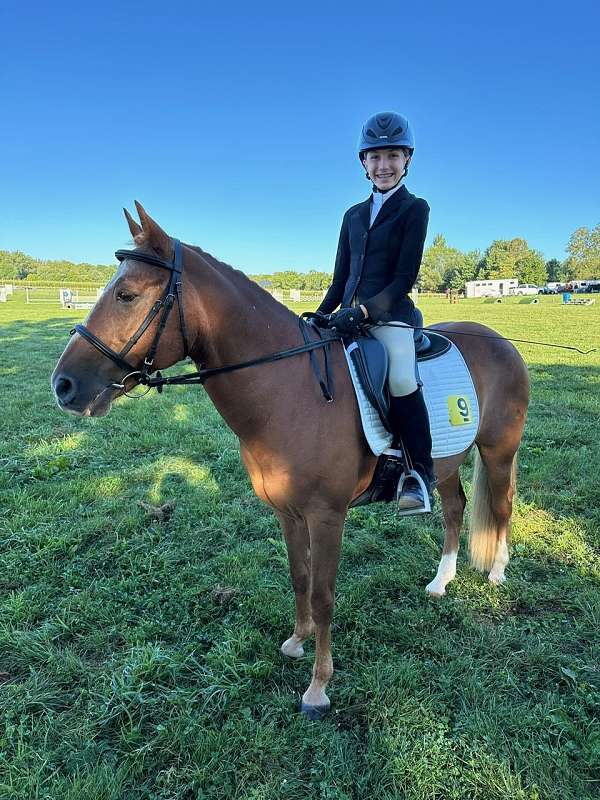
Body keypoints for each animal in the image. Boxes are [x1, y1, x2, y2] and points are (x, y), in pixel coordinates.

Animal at [51, 203, 530, 719]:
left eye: (126, 294)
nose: (64, 386)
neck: (290, 388)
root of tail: (500, 339)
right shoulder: (287, 511)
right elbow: (299, 578)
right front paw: (296, 643)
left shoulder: (327, 515)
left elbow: (323, 595)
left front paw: (318, 687)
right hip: (445, 461)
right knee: (455, 508)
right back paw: (441, 582)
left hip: (498, 451)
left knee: (501, 505)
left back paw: (498, 573)